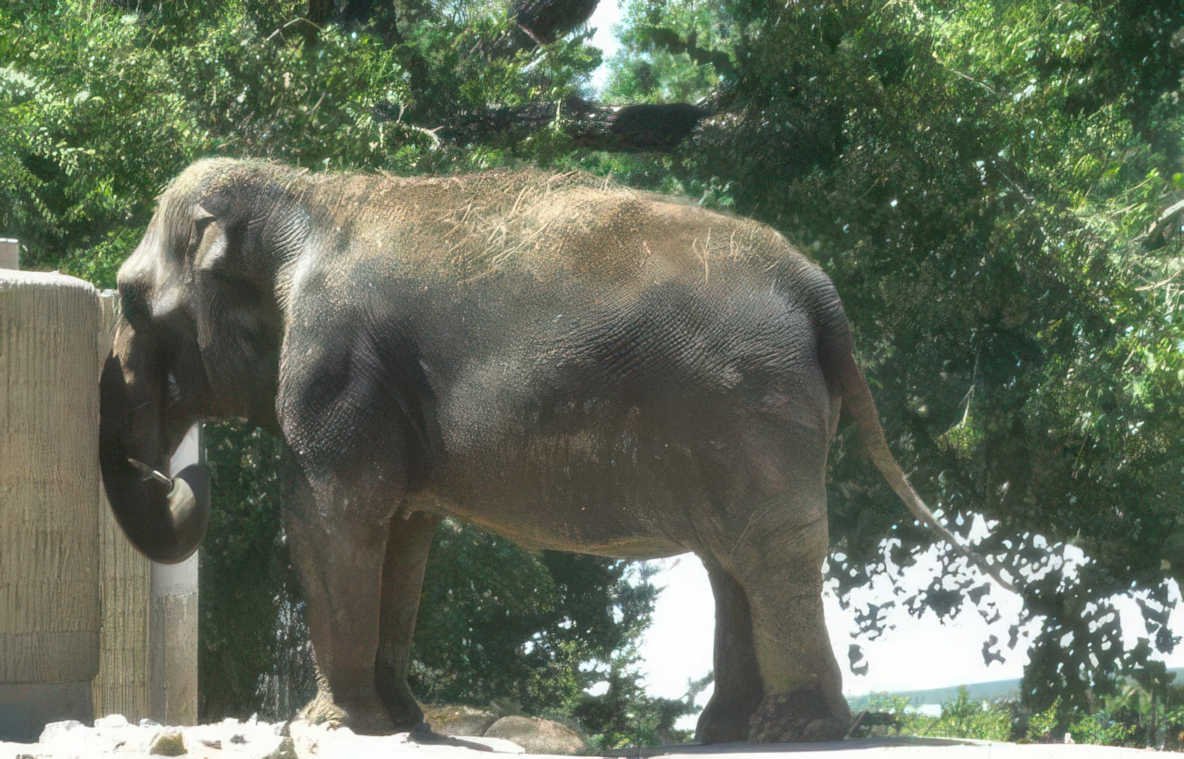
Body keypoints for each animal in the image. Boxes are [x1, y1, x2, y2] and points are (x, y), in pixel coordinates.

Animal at [99, 158, 1008, 744]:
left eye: (133, 301)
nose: (176, 471)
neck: (301, 192)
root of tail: (815, 285)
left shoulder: (334, 366)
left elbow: (331, 515)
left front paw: (330, 722)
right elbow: (403, 533)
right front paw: (402, 722)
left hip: (752, 402)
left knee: (769, 548)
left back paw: (796, 729)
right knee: (733, 556)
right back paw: (729, 729)